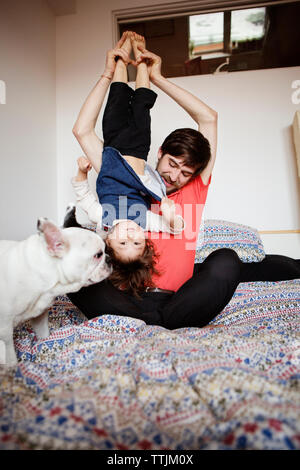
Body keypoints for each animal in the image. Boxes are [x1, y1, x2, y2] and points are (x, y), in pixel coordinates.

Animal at [0, 218, 111, 368]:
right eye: (98, 255)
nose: (110, 259)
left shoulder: (39, 316)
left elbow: (44, 335)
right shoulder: (5, 333)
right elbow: (10, 357)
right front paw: (13, 370)